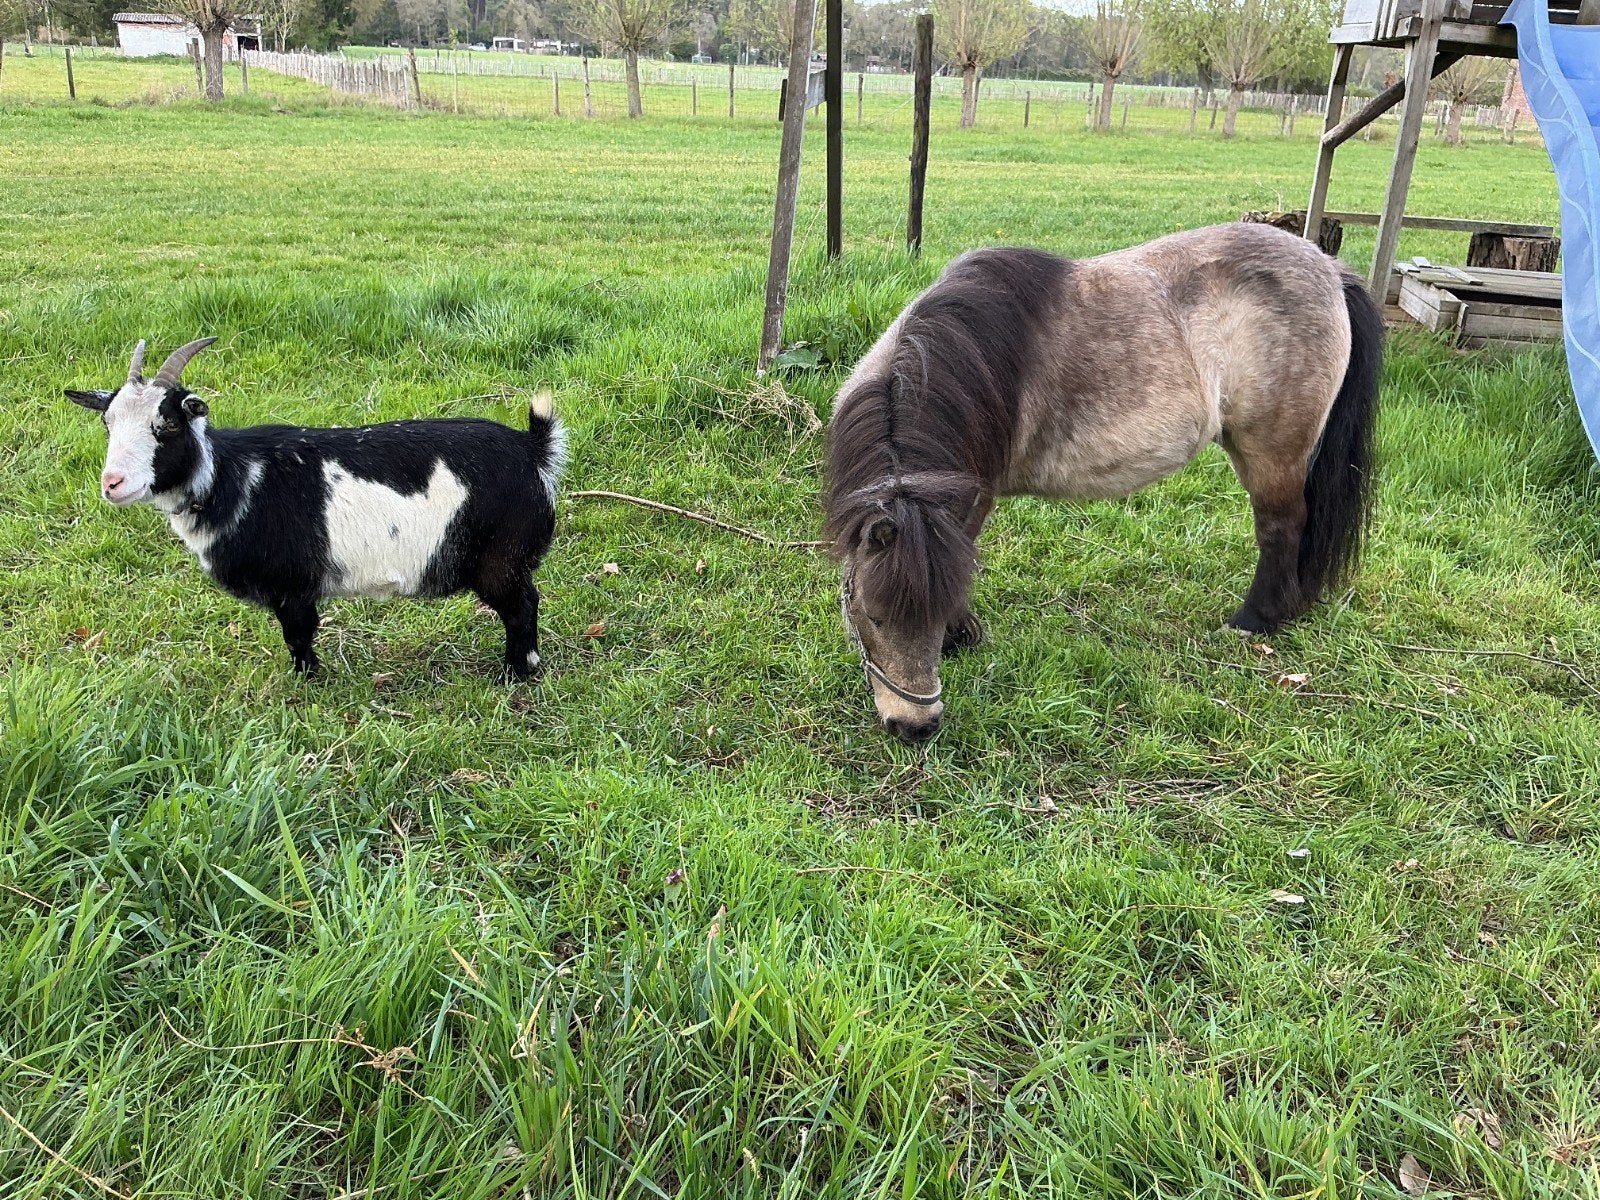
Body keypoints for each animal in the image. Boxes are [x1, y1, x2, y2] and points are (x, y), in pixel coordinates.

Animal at [822, 223, 1384, 743]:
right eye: (871, 615)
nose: (915, 726)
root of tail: (1330, 270)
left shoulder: (973, 494)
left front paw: (960, 636)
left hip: (1270, 452)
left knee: (1280, 527)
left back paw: (1254, 620)